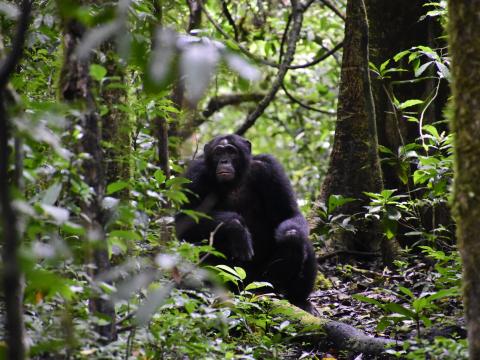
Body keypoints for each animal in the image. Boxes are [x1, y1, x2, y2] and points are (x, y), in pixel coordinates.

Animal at [174, 134, 316, 310]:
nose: (224, 161)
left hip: (263, 281)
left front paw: (290, 239)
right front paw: (236, 227)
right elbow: (183, 221)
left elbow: (288, 214)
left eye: (231, 151)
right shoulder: (195, 175)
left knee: (303, 242)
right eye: (218, 152)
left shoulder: (270, 169)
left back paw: (299, 300)